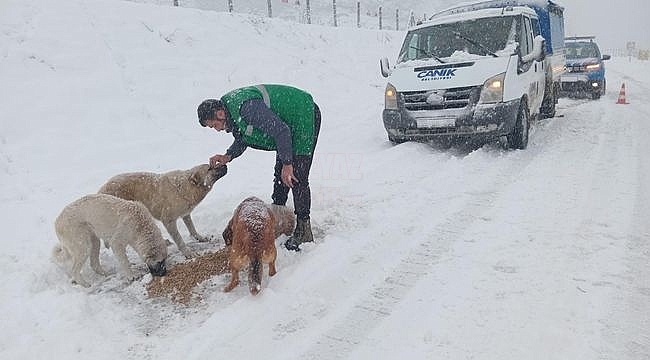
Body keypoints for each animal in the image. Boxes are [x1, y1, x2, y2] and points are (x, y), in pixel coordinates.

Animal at [96, 163, 227, 258]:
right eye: (210, 168)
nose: (225, 165)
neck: (185, 188)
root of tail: (101, 191)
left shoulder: (186, 214)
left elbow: (192, 229)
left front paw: (200, 238)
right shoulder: (168, 221)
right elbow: (179, 239)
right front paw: (187, 253)